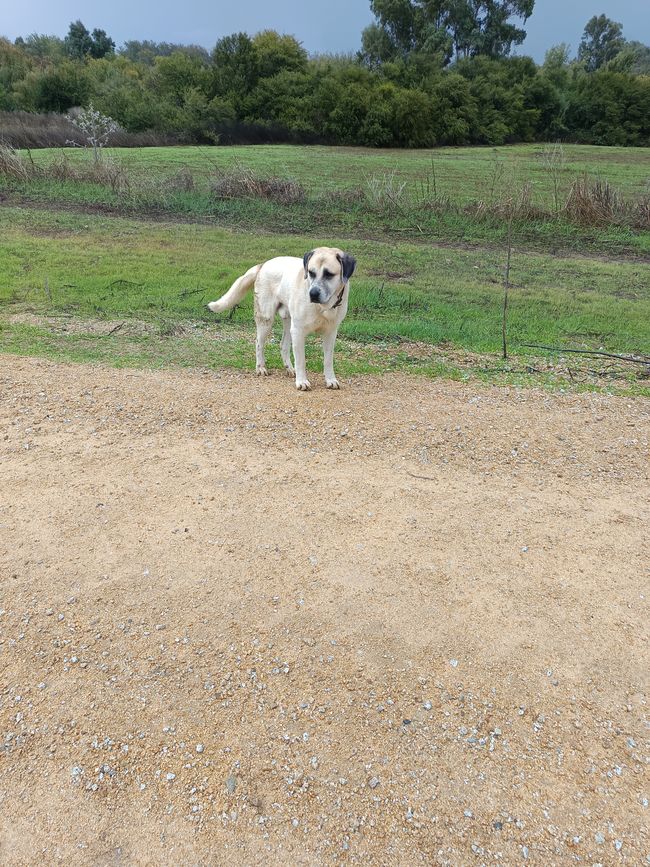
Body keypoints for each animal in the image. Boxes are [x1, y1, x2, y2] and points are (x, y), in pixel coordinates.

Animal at [206, 248, 354, 390]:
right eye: (311, 273)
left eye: (329, 274)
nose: (312, 294)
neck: (323, 307)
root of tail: (263, 264)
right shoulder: (298, 331)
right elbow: (301, 360)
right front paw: (302, 382)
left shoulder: (330, 333)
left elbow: (328, 360)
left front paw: (330, 380)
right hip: (266, 319)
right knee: (258, 343)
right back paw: (261, 367)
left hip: (289, 323)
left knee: (283, 345)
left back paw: (289, 369)